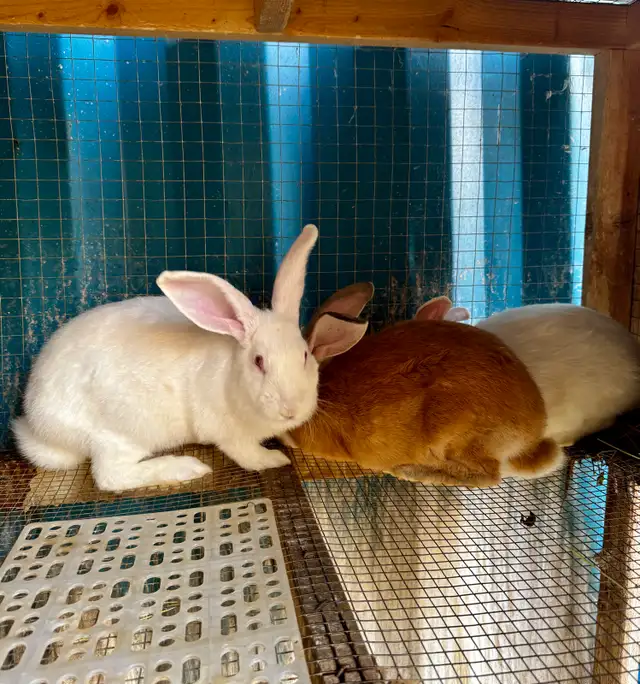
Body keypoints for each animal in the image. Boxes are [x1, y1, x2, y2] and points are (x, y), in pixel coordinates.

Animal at [13, 225, 329, 492]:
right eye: (259, 361)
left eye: (305, 354)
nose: (291, 410)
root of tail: (37, 423)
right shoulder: (229, 434)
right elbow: (247, 455)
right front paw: (274, 458)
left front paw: (290, 440)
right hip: (121, 434)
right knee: (110, 476)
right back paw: (185, 468)